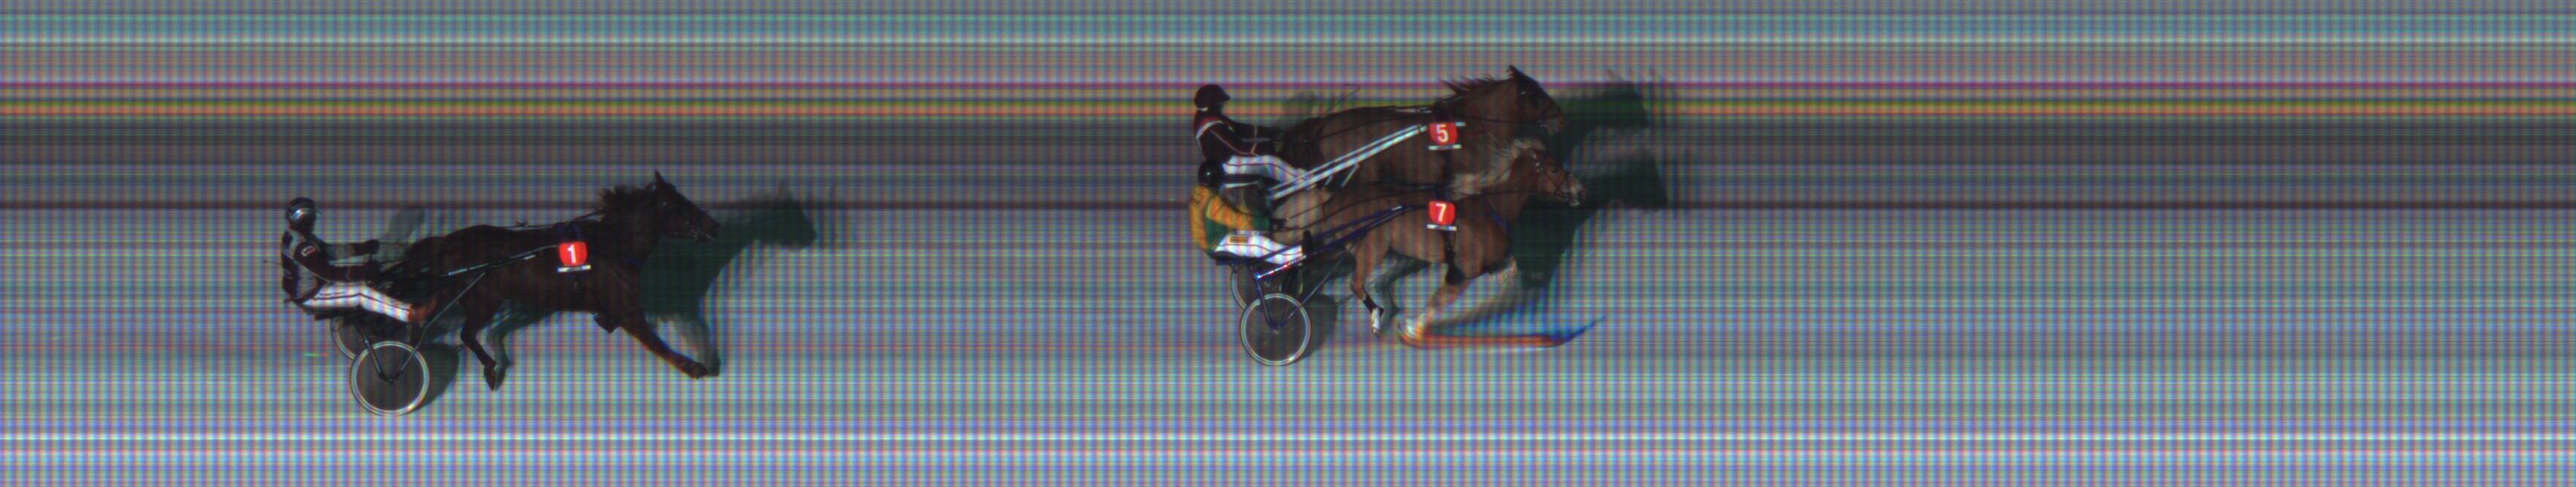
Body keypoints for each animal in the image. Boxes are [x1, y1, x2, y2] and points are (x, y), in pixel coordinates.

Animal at [390, 172, 723, 390]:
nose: (714, 226)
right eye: (677, 207)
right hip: (479, 298)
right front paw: (695, 366)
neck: (614, 247)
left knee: (441, 323)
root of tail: (447, 243)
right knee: (461, 332)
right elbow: (657, 343)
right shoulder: (629, 310)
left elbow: (610, 319)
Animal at [1312, 139, 1586, 348]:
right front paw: (1413, 331)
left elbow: (1510, 265)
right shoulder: (1462, 271)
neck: (1491, 208)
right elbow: (1437, 302)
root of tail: (1333, 198)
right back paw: (1377, 318)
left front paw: (1502, 274)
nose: (1580, 191)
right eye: (1554, 168)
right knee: (1356, 285)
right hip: (1372, 247)